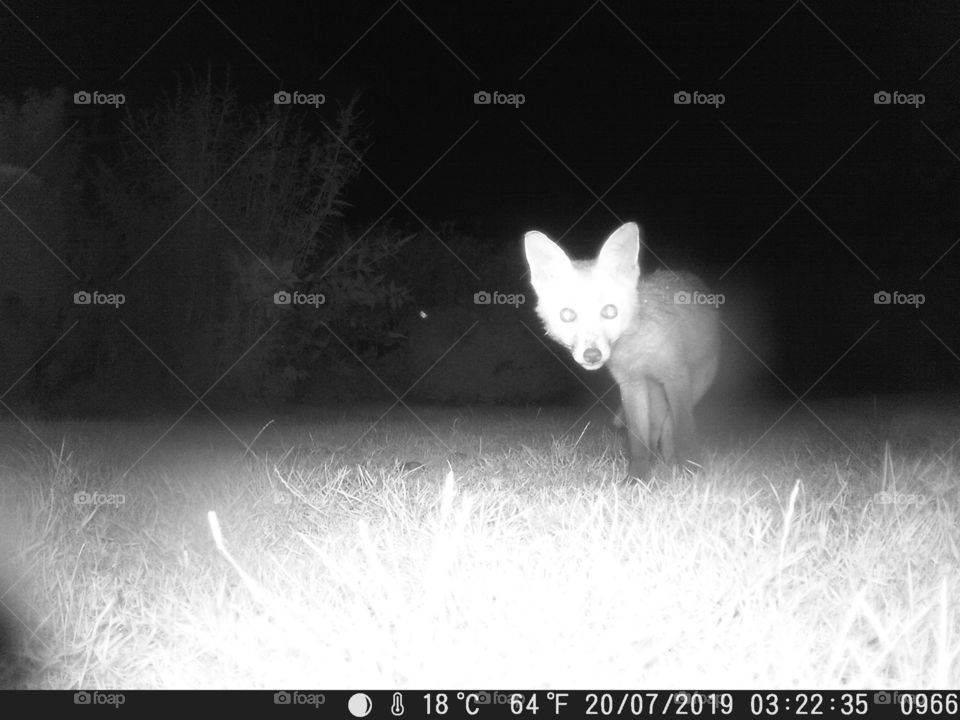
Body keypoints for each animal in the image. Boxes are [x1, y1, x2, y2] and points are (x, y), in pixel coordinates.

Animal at [523, 222, 720, 479]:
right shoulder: (631, 385)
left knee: (670, 424)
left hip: (695, 384)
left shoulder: (675, 377)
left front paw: (693, 472)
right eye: (567, 315)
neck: (637, 353)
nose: (592, 355)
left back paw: (673, 463)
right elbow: (637, 440)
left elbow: (685, 433)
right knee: (657, 428)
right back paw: (663, 462)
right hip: (655, 393)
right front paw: (638, 479)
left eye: (610, 311)